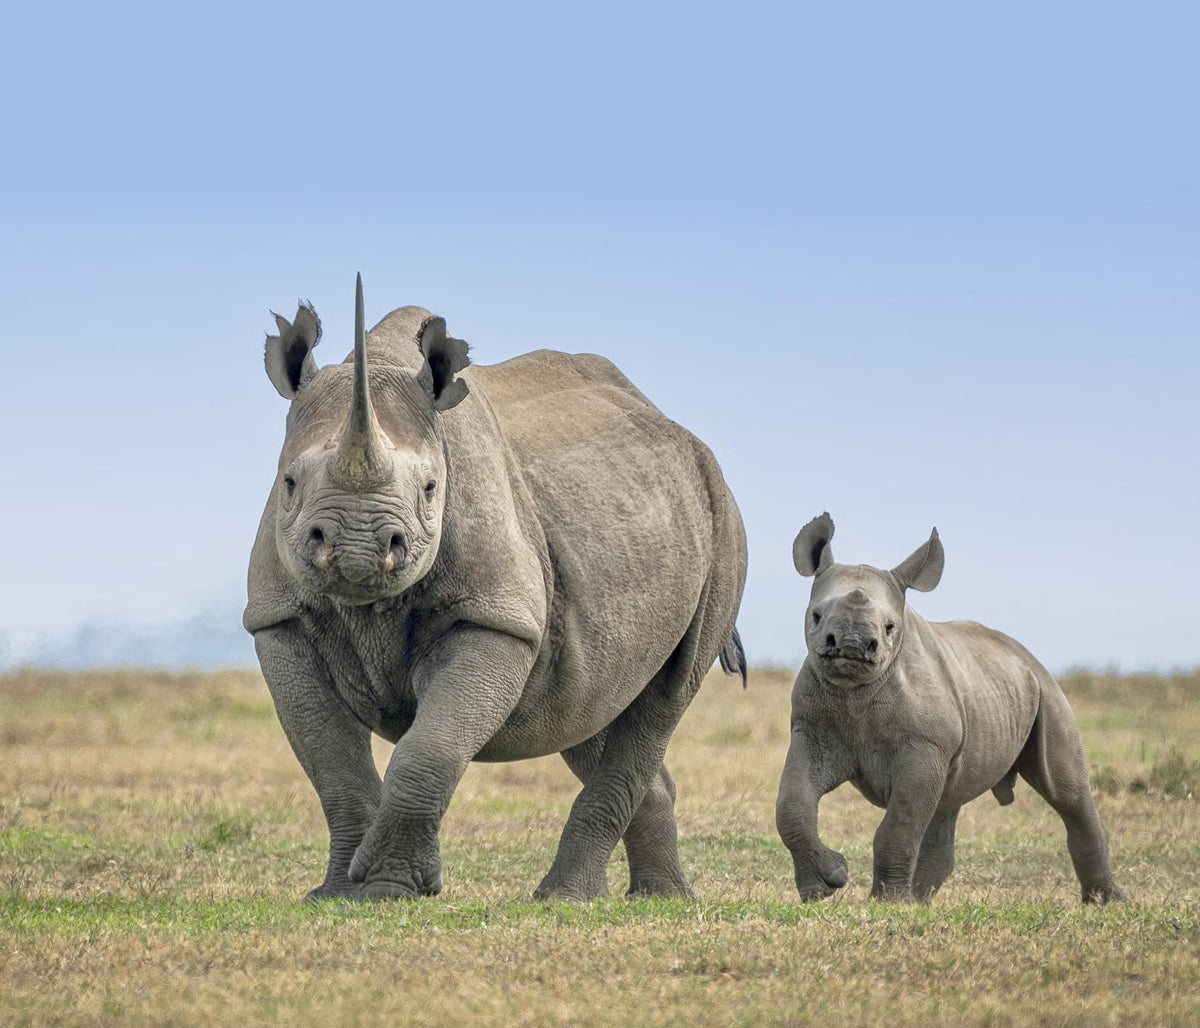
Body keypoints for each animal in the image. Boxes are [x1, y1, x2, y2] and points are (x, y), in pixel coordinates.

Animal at [245, 275, 747, 901]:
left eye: (432, 489)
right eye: (289, 483)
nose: (357, 548)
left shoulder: (496, 616)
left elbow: (430, 749)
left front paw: (389, 889)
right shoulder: (278, 617)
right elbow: (331, 761)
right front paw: (339, 895)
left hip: (722, 515)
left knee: (666, 694)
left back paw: (566, 901)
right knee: (588, 705)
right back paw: (654, 899)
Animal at [775, 513, 1124, 904]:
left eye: (890, 627)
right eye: (816, 616)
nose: (851, 645)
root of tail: (1023, 653)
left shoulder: (924, 745)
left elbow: (900, 824)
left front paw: (887, 903)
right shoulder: (812, 731)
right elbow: (792, 806)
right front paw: (825, 885)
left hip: (1048, 690)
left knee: (1067, 793)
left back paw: (1106, 903)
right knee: (946, 804)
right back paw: (919, 902)